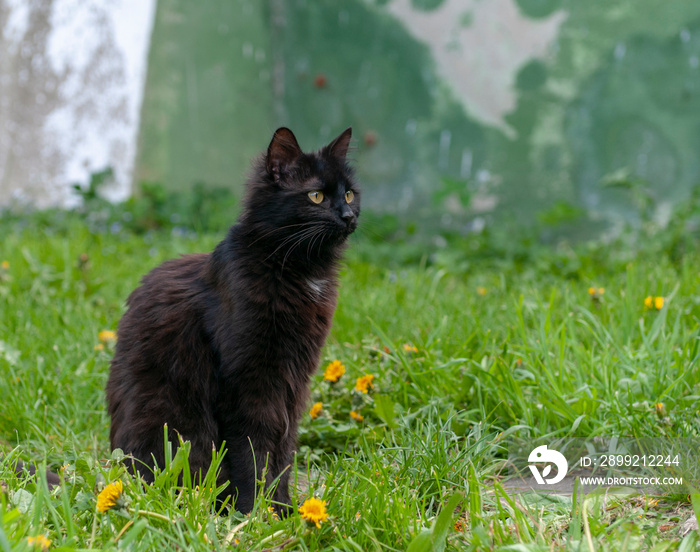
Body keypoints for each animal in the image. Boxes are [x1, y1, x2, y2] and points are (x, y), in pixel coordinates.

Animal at [109, 126, 360, 512]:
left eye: (349, 193)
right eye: (316, 196)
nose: (348, 215)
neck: (298, 269)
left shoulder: (293, 383)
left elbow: (283, 451)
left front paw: (283, 509)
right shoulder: (246, 382)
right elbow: (252, 452)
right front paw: (252, 512)